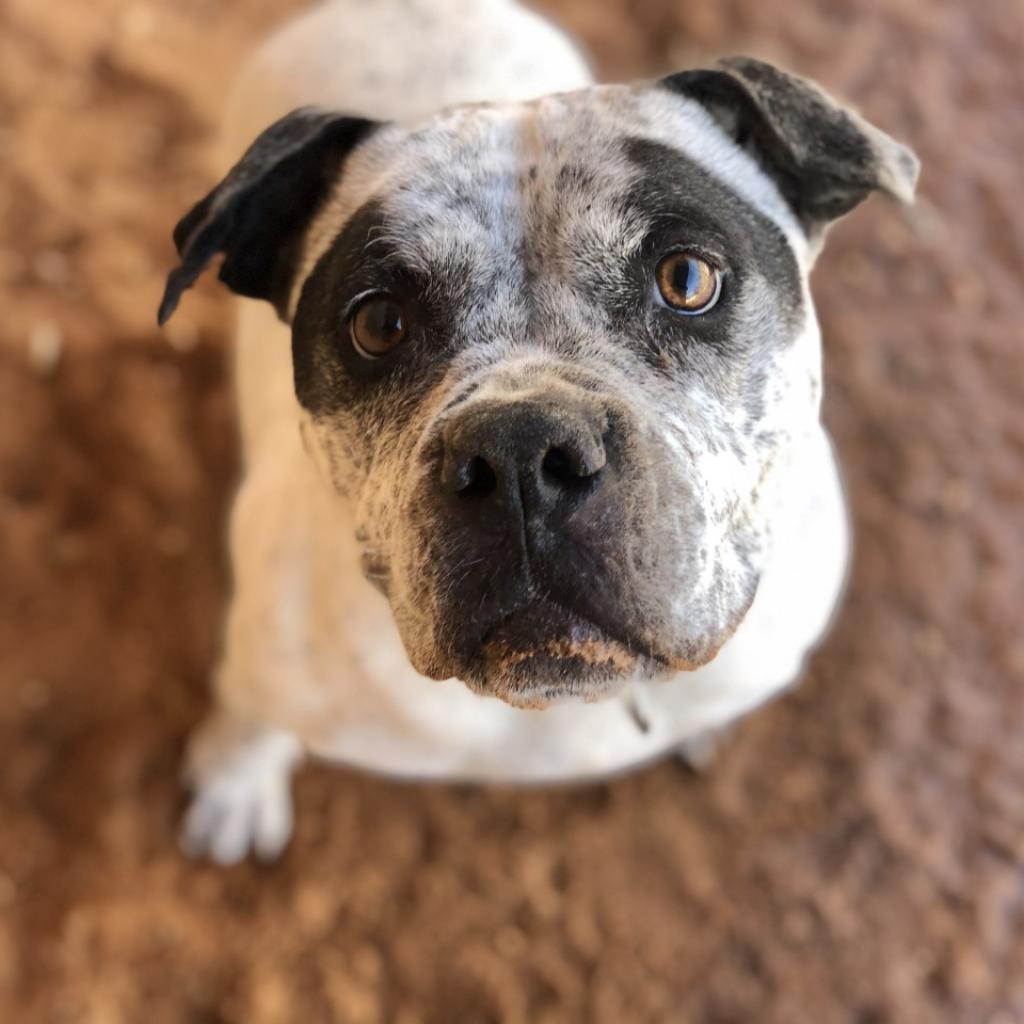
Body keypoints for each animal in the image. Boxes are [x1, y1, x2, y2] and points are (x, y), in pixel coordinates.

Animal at [161, 0, 921, 864]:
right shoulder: (262, 663)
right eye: (379, 324)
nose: (521, 451)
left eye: (687, 279)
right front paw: (236, 781)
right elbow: (249, 714)